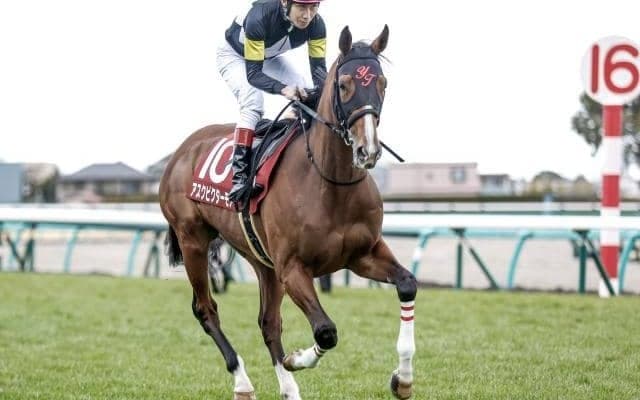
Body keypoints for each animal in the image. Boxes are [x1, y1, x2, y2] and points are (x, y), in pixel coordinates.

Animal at [160, 25, 417, 400]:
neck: (331, 183)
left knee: (268, 322)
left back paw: (288, 388)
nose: (367, 150)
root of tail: (181, 151)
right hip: (193, 239)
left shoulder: (363, 254)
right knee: (206, 310)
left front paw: (403, 378)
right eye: (344, 85)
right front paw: (296, 359)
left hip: (261, 259)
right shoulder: (293, 268)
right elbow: (326, 330)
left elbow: (408, 285)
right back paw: (243, 381)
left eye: (382, 83)